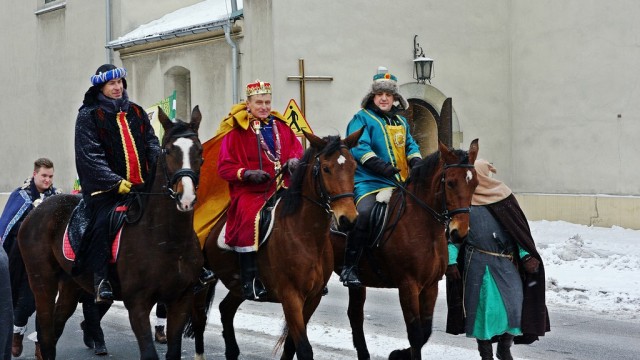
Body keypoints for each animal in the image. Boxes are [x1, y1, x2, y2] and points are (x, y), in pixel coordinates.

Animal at [16, 106, 205, 360]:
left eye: (199, 150)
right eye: (167, 151)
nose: (186, 198)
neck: (168, 240)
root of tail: (36, 210)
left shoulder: (180, 300)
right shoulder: (137, 304)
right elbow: (149, 352)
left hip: (71, 286)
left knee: (55, 328)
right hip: (42, 282)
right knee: (46, 333)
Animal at [186, 128, 364, 358]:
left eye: (354, 167)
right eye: (326, 168)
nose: (348, 219)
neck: (306, 236)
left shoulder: (313, 298)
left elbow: (291, 345)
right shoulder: (291, 298)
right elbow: (304, 349)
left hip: (237, 286)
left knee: (226, 310)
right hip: (202, 284)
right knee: (199, 319)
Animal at [330, 139, 480, 358]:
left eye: (475, 183)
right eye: (451, 182)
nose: (459, 233)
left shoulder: (431, 285)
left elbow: (425, 331)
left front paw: (399, 353)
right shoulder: (408, 285)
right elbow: (415, 333)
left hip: (358, 283)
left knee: (355, 314)